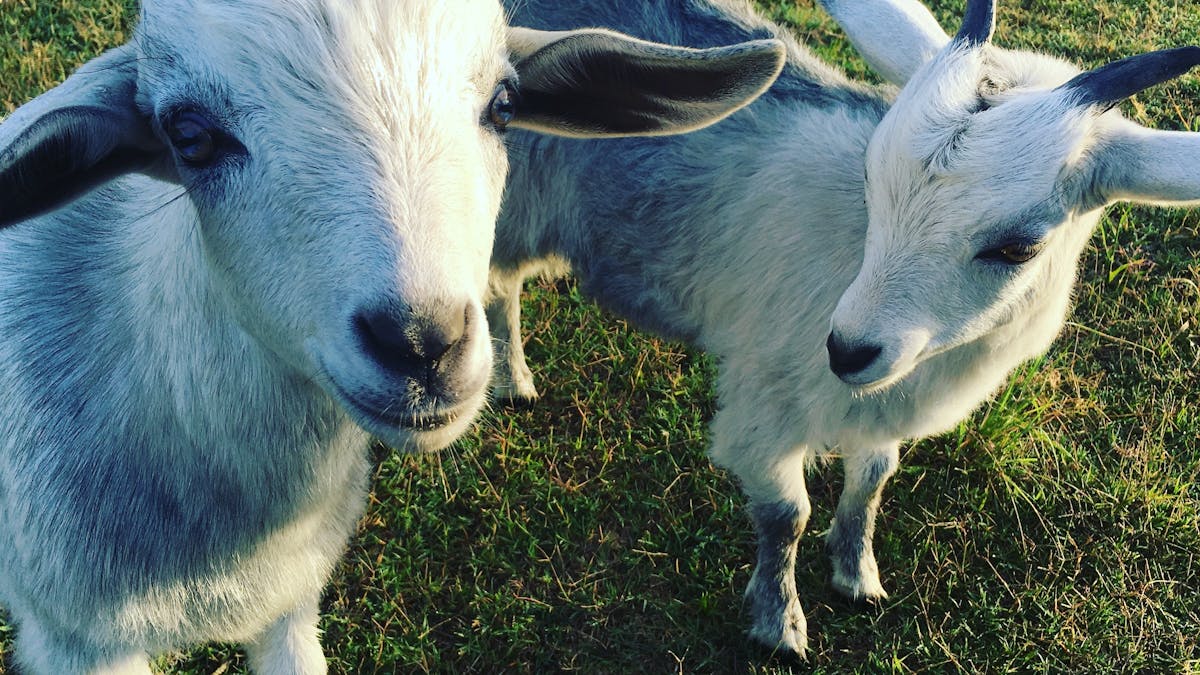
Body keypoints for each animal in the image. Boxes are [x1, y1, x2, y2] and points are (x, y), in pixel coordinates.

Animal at [491, 0, 1200, 656]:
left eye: (1019, 247)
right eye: (869, 175)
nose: (847, 350)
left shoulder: (880, 407)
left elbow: (872, 480)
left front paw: (857, 573)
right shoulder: (764, 402)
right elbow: (786, 516)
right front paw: (779, 623)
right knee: (497, 287)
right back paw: (512, 380)